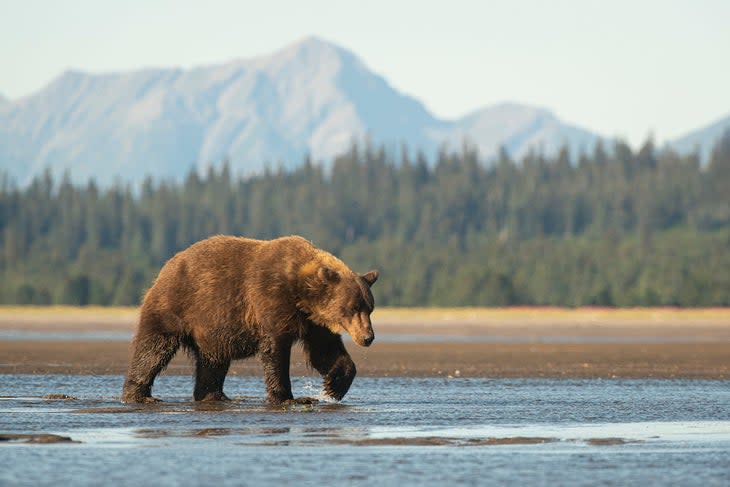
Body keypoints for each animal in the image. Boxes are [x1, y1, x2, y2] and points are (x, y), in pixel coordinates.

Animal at [120, 235, 378, 404]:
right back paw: (139, 395)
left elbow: (325, 351)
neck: (301, 293)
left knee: (213, 361)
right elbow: (275, 351)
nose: (368, 337)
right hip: (176, 306)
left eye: (370, 308)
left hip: (211, 329)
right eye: (353, 307)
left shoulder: (313, 322)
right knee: (153, 349)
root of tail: (168, 265)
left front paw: (334, 386)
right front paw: (289, 397)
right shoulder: (271, 300)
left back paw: (214, 395)